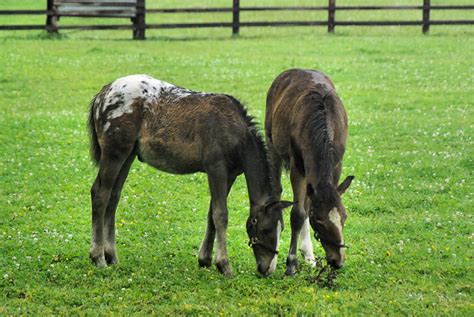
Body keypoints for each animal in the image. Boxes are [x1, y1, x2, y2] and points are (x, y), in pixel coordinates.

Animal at [87, 74, 290, 274]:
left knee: (113, 197)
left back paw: (112, 256)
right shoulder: (216, 168)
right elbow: (220, 214)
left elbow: (211, 214)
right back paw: (98, 257)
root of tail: (103, 93)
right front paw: (224, 264)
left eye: (282, 229)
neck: (236, 133)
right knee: (100, 194)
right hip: (114, 153)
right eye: (266, 229)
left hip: (127, 155)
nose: (267, 269)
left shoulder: (230, 174)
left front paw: (205, 260)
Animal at [266, 69, 352, 274]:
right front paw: (290, 264)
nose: (337, 261)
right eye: (319, 220)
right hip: (272, 144)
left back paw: (309, 255)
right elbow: (297, 213)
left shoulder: (336, 166)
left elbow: (306, 207)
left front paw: (306, 256)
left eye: (344, 217)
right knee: (277, 192)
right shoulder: (297, 167)